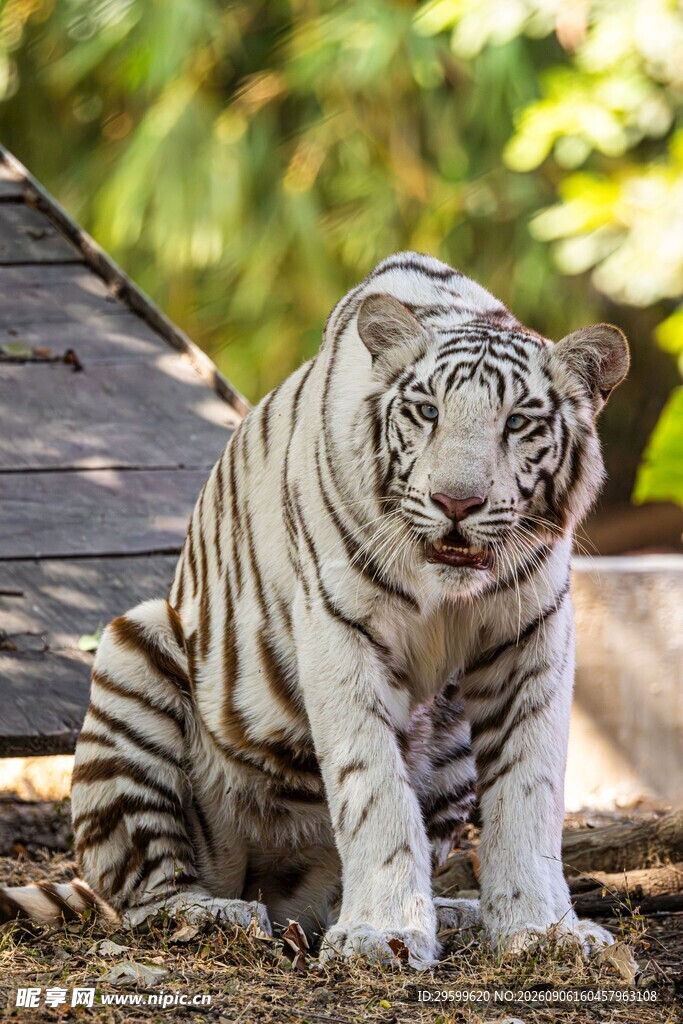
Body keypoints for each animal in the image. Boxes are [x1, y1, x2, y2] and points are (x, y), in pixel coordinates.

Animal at [0, 252, 629, 969]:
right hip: (135, 651)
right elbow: (373, 787)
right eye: (426, 411)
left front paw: (543, 930)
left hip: (449, 743)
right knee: (143, 897)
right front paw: (383, 933)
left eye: (518, 422)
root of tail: (275, 891)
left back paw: (451, 913)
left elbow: (529, 792)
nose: (456, 502)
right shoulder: (340, 629)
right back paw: (219, 915)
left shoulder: (531, 636)